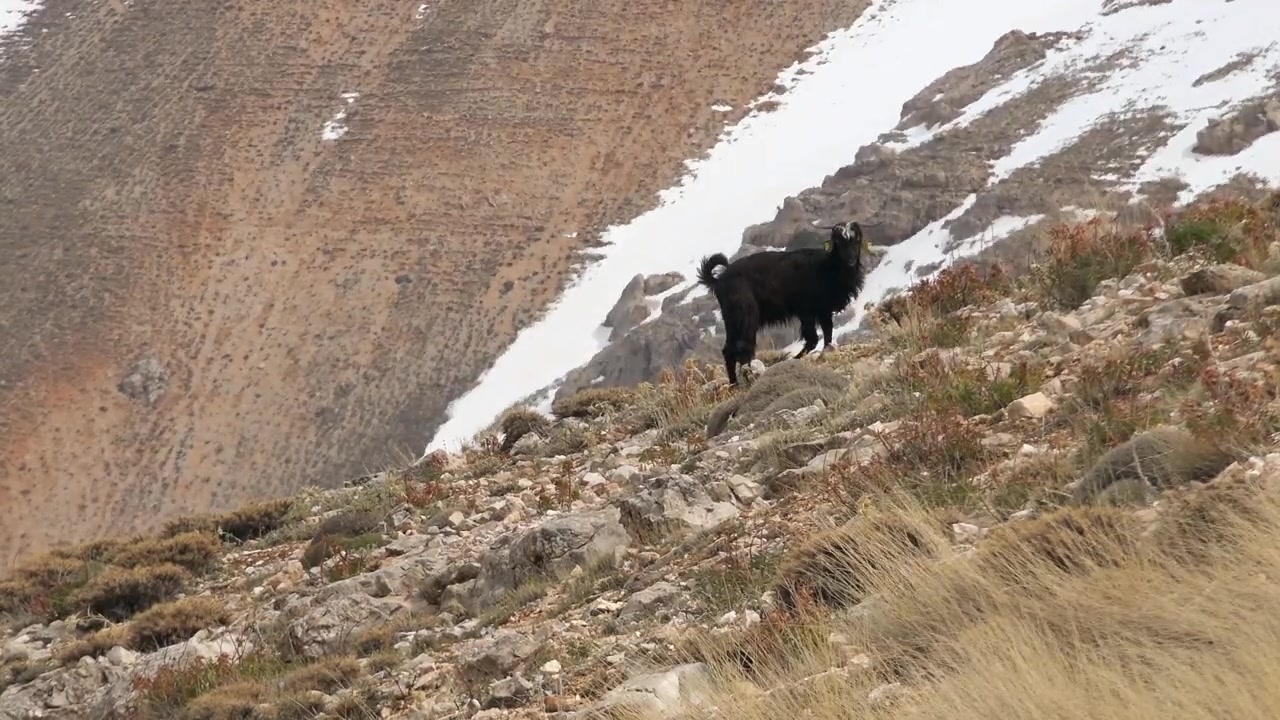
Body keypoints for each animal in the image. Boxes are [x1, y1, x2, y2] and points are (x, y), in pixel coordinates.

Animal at [696, 221, 871, 386]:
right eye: (838, 242)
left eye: (857, 241)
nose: (850, 261)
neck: (827, 266)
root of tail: (719, 280)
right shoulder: (806, 311)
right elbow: (813, 339)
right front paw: (795, 359)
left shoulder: (823, 310)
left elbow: (827, 334)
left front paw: (826, 352)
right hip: (746, 315)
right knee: (744, 348)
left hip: (732, 319)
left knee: (729, 350)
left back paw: (734, 384)